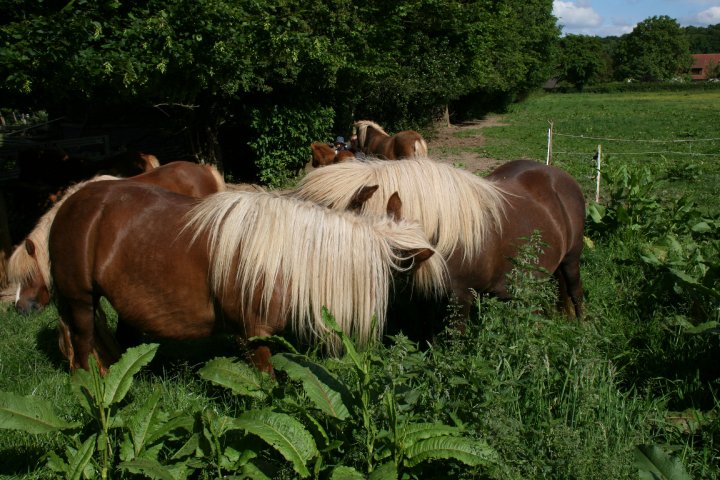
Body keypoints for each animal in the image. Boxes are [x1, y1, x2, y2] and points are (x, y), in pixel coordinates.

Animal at [49, 182, 438, 374]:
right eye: (410, 280)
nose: (430, 337)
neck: (284, 260)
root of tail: (69, 204)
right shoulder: (253, 337)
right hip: (80, 304)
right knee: (83, 353)